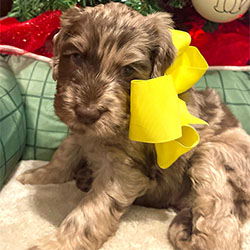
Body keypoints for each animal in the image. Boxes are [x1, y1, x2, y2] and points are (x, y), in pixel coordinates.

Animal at [18, 2, 250, 250]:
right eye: (77, 57)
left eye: (128, 70)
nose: (87, 113)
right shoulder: (80, 134)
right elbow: (63, 156)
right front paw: (35, 176)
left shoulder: (124, 170)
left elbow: (87, 213)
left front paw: (57, 243)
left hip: (212, 154)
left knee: (221, 229)